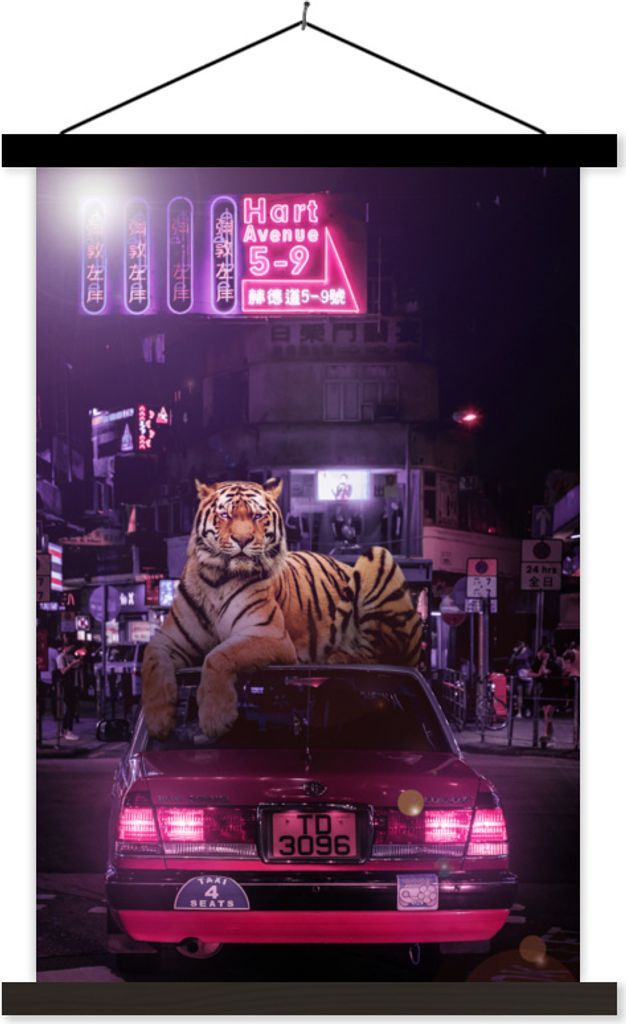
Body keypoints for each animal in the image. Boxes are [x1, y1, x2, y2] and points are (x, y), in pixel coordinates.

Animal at [142, 478, 423, 739]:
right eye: (225, 515)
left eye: (257, 515)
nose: (242, 540)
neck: (217, 579)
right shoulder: (169, 639)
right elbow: (151, 659)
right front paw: (158, 720)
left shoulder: (268, 634)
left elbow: (218, 655)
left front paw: (216, 716)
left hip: (378, 558)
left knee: (380, 652)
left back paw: (338, 656)